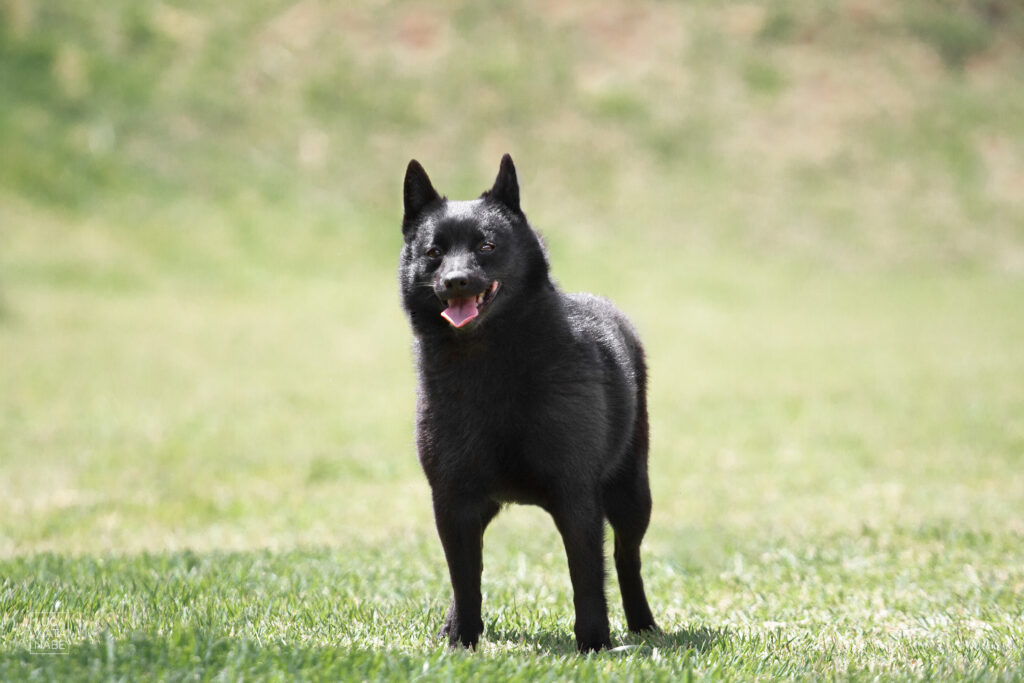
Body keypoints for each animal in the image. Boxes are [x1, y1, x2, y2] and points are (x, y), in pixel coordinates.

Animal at [399, 153, 655, 651]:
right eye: (434, 253)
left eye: (487, 245)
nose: (455, 282)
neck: (491, 367)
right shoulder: (452, 498)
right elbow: (465, 579)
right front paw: (462, 642)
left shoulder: (576, 495)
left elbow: (586, 576)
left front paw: (594, 644)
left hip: (633, 493)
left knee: (626, 558)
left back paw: (643, 625)